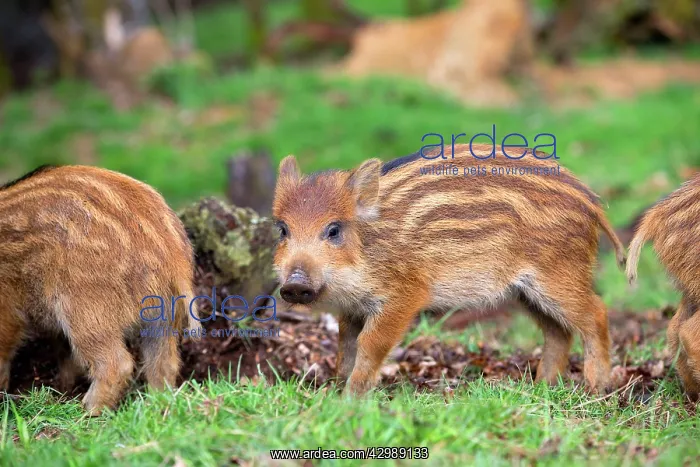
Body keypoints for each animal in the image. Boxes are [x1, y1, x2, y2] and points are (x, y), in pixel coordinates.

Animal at [0, 165, 200, 414]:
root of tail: (171, 251)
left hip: (84, 306)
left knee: (117, 364)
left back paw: (86, 412)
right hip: (162, 315)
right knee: (165, 365)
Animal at [272, 143, 626, 395]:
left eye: (333, 230)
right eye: (282, 230)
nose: (295, 284)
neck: (370, 245)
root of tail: (594, 204)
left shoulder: (405, 295)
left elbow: (370, 344)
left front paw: (352, 399)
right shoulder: (353, 308)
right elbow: (345, 344)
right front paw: (334, 391)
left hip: (557, 275)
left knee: (596, 312)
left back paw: (595, 388)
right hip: (525, 291)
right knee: (558, 331)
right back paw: (541, 387)